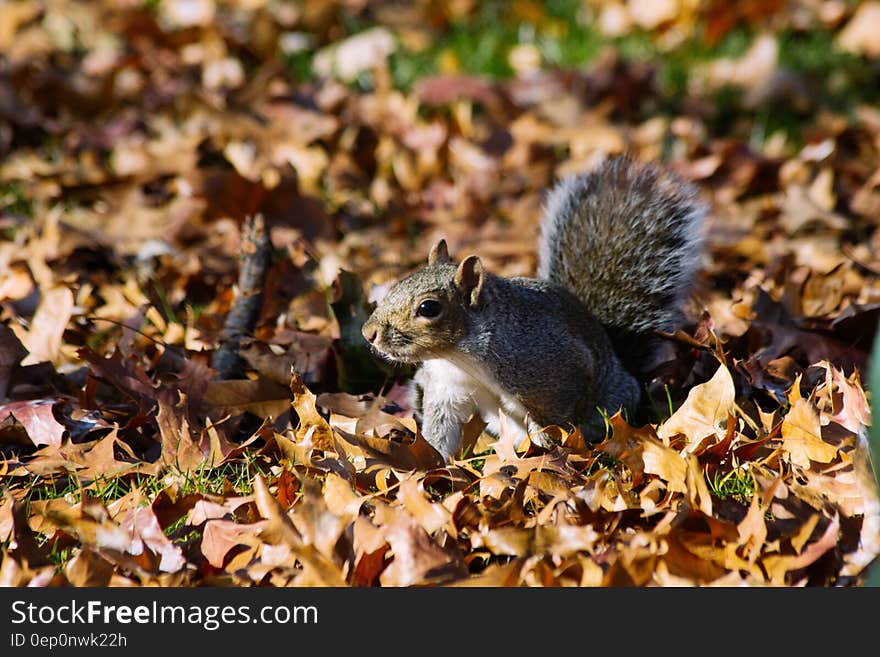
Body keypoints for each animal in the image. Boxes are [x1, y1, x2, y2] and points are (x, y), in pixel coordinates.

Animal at [358, 154, 708, 462]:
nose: (368, 332)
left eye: (429, 308)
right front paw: (435, 467)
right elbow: (440, 431)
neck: (459, 358)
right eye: (397, 285)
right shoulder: (446, 390)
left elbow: (555, 419)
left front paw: (552, 446)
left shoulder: (553, 368)